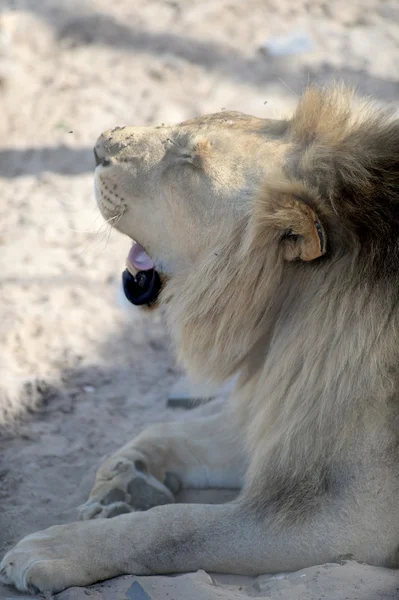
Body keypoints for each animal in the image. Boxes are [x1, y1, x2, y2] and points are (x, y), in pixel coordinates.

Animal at [0, 85, 399, 596]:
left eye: (191, 163)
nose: (97, 148)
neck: (288, 315)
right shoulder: (279, 415)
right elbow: (168, 431)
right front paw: (125, 477)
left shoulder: (346, 518)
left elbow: (174, 526)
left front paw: (54, 549)